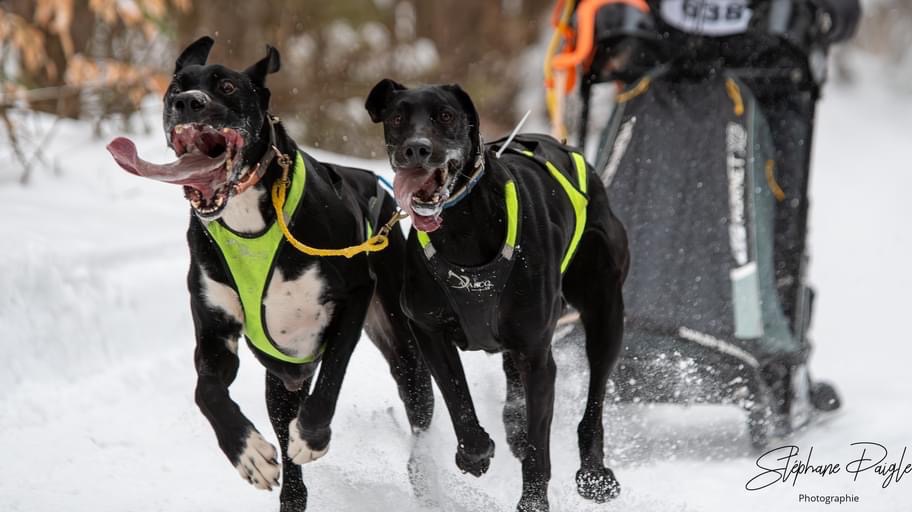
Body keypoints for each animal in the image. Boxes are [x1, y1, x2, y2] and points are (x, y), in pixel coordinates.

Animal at [107, 38, 433, 511]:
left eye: (226, 86)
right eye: (175, 87)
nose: (188, 102)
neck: (249, 220)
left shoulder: (355, 296)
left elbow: (333, 373)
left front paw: (313, 435)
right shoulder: (216, 333)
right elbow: (206, 391)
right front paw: (247, 454)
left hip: (402, 350)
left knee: (417, 403)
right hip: (281, 379)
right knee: (287, 442)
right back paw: (290, 493)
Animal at [365, 80, 630, 512]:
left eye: (446, 115)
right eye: (398, 116)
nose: (416, 149)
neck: (463, 228)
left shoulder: (538, 355)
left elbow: (540, 446)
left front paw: (534, 501)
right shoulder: (428, 330)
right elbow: (457, 397)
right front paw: (474, 452)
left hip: (605, 312)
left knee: (595, 397)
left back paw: (594, 472)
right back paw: (513, 428)